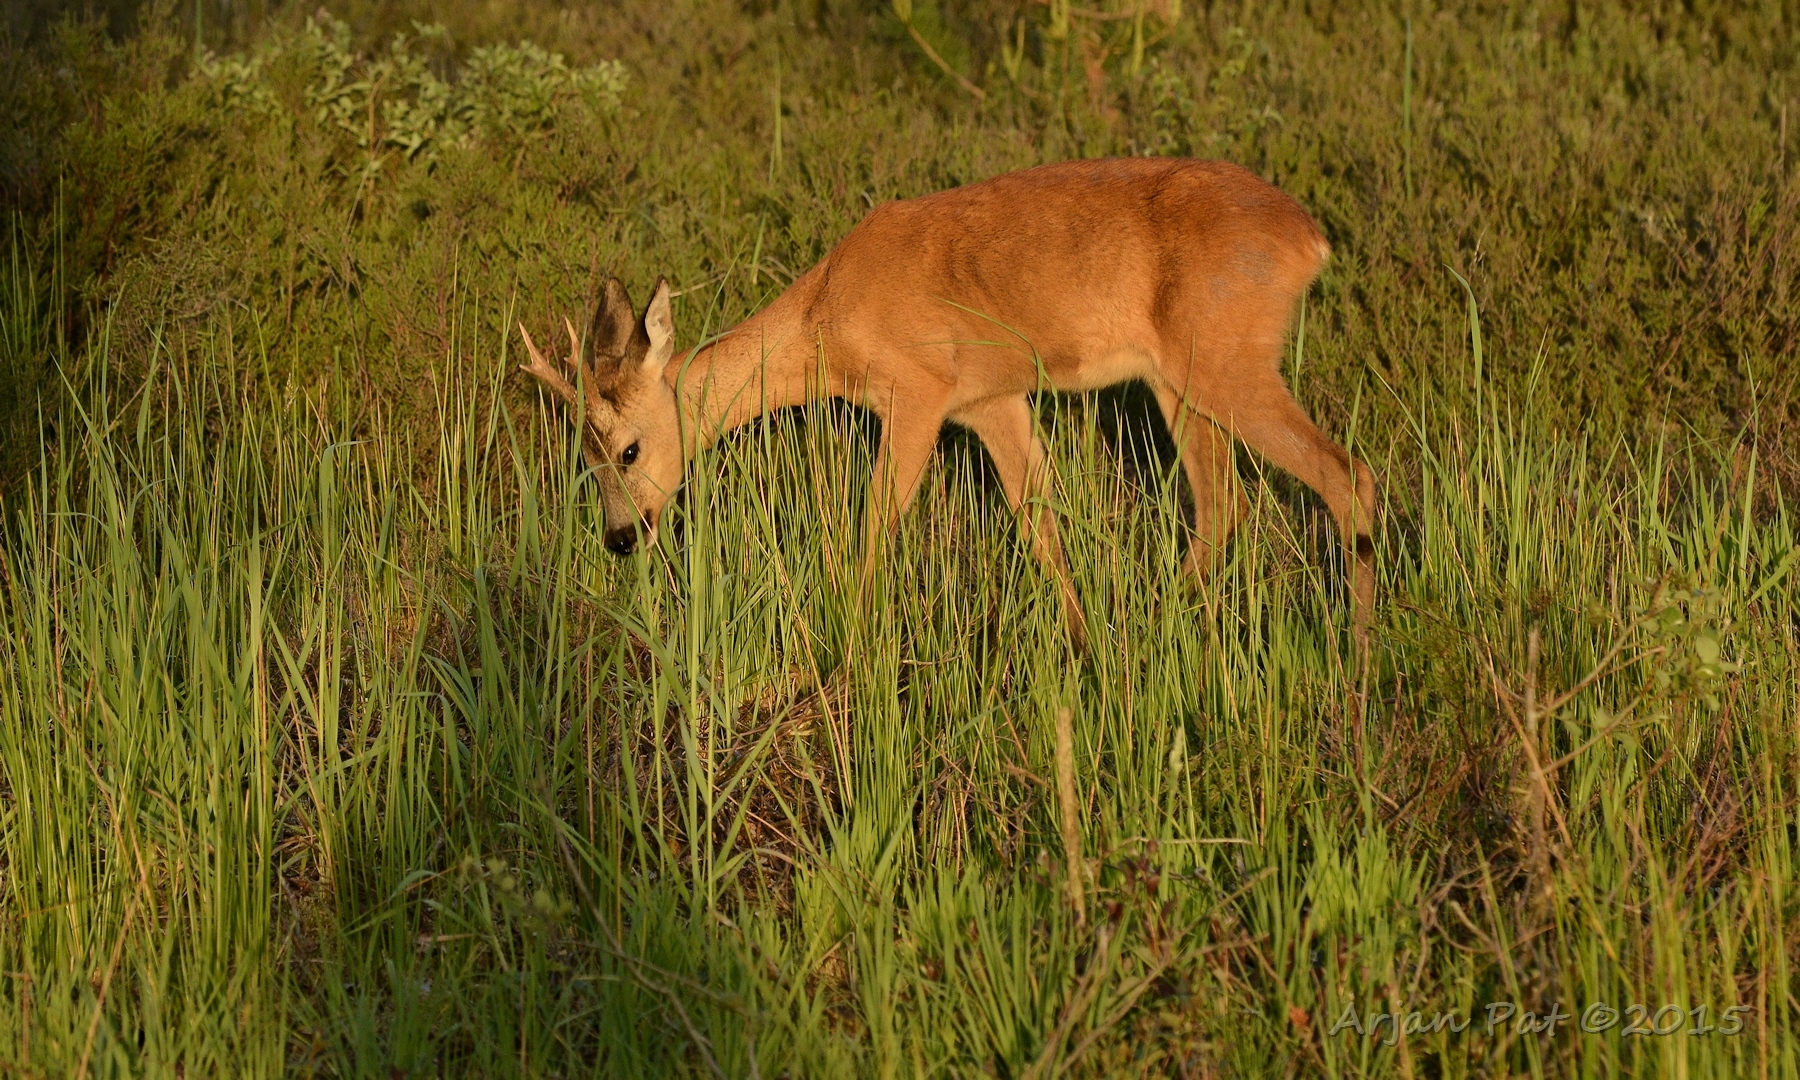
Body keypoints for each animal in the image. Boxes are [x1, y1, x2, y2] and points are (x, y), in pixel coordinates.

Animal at [520, 158, 1377, 652]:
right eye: (582, 454)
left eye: (628, 446)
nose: (620, 537)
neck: (826, 319)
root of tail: (1309, 239)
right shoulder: (993, 402)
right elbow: (1039, 523)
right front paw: (1082, 648)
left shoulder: (918, 395)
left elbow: (874, 525)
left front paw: (845, 651)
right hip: (1179, 382)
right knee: (1225, 499)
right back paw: (1162, 629)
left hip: (1224, 364)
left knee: (1344, 474)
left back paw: (1357, 667)